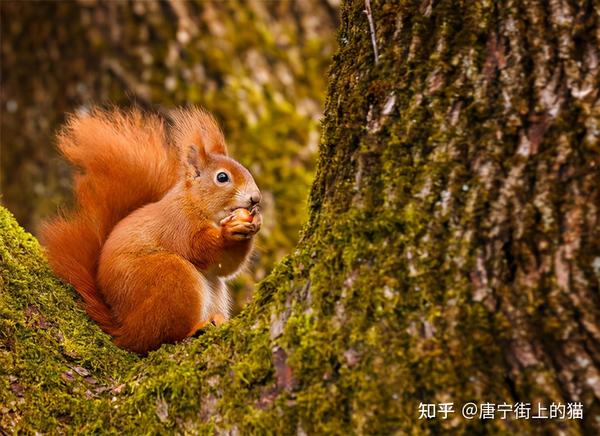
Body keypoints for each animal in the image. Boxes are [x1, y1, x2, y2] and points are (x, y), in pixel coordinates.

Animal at [39, 106, 260, 354]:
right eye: (222, 177)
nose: (256, 198)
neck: (195, 204)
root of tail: (124, 329)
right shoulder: (178, 224)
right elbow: (199, 248)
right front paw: (228, 233)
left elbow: (225, 267)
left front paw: (254, 223)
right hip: (171, 278)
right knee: (159, 337)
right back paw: (196, 328)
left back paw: (216, 320)